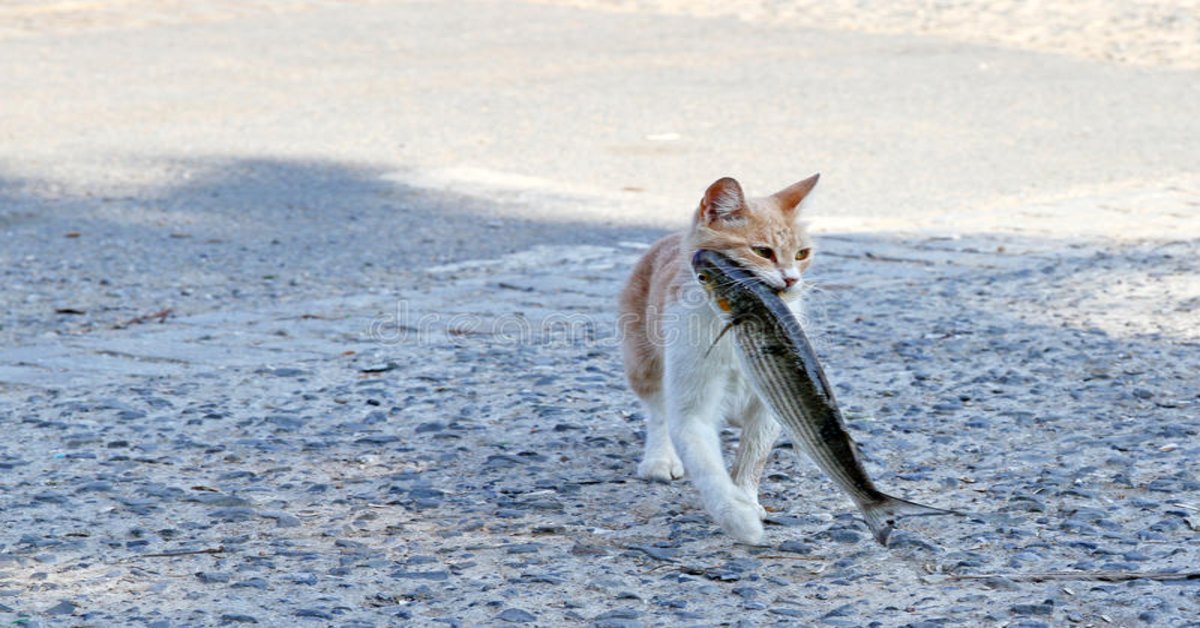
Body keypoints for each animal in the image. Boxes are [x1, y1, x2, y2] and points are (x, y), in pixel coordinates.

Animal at [619, 174, 825, 542]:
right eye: (762, 251)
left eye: (802, 254)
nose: (792, 279)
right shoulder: (692, 407)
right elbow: (708, 468)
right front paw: (738, 517)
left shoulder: (772, 405)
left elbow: (752, 458)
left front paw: (747, 499)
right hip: (645, 363)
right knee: (658, 412)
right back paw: (659, 459)